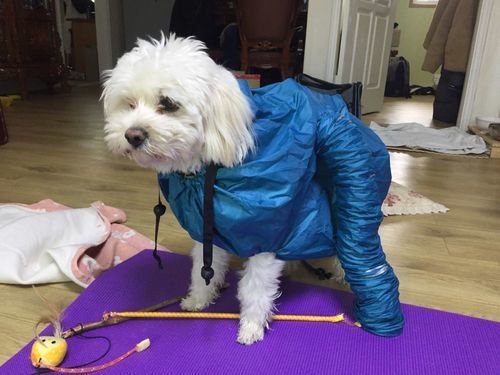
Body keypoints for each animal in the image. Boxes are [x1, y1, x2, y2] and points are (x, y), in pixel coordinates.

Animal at [101, 35, 344, 346]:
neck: (208, 170)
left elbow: (255, 289)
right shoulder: (208, 229)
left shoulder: (263, 234)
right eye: (129, 104)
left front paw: (251, 325)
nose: (132, 135)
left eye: (168, 103)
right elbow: (203, 268)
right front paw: (199, 299)